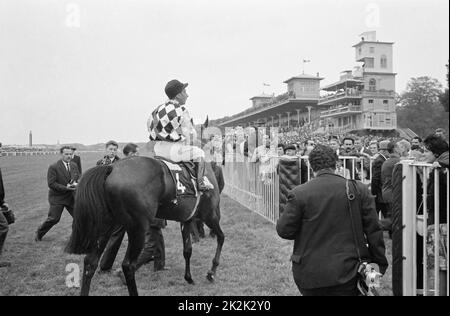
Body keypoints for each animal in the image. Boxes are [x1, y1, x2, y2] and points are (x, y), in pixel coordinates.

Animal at [65, 157, 225, 296]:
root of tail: (111, 167)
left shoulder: (186, 220)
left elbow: (187, 250)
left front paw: (189, 278)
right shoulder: (210, 215)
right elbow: (221, 238)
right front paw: (211, 273)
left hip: (107, 227)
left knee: (90, 262)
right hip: (138, 229)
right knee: (128, 265)